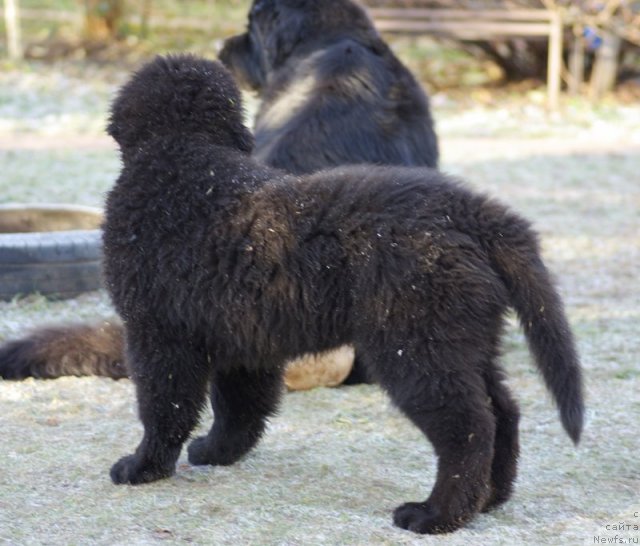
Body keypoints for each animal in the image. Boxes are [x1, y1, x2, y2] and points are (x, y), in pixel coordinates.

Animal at [105, 55, 584, 532]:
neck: (186, 156)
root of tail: (469, 213)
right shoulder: (240, 338)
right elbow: (240, 407)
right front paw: (216, 452)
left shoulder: (157, 332)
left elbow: (165, 407)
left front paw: (142, 467)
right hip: (467, 341)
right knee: (503, 411)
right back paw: (490, 498)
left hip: (417, 349)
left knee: (468, 427)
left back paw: (435, 514)